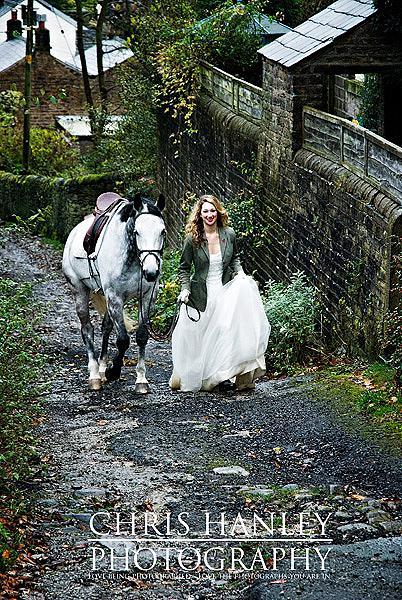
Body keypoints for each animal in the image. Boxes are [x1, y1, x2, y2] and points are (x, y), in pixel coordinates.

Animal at [62, 190, 166, 392]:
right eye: (137, 232)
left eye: (163, 231)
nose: (151, 272)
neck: (133, 259)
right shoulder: (115, 297)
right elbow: (123, 340)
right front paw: (113, 372)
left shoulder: (147, 298)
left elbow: (141, 336)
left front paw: (141, 380)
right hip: (80, 290)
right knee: (87, 329)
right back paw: (95, 375)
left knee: (106, 327)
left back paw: (102, 367)